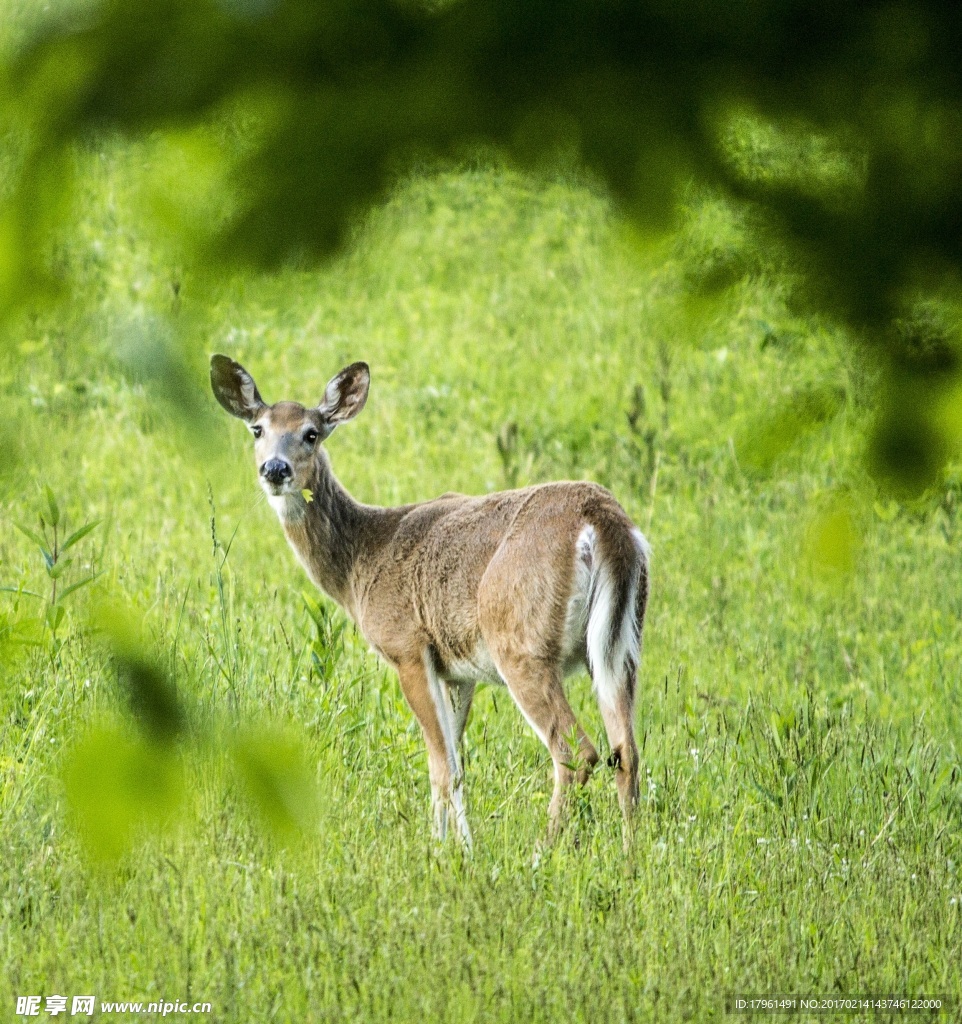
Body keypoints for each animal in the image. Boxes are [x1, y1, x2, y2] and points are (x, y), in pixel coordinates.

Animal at [208, 354, 647, 847]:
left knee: (577, 752)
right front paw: (458, 847)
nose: (275, 469)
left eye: (311, 433)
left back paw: (542, 851)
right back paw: (631, 855)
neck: (361, 561)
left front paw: (441, 851)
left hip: (521, 642)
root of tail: (603, 520)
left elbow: (440, 767)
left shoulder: (408, 648)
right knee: (626, 752)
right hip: (619, 647)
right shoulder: (458, 673)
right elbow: (456, 766)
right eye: (257, 429)